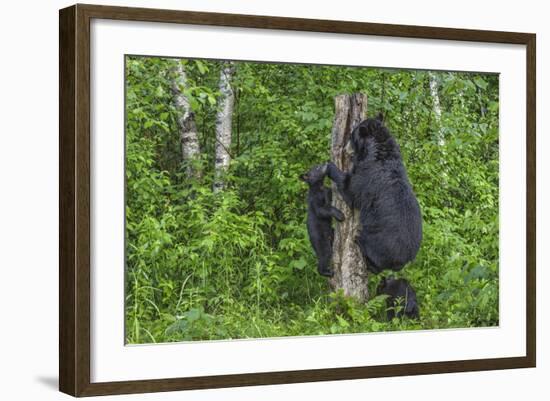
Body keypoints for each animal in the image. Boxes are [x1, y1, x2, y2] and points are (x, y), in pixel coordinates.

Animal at [328, 114, 422, 274]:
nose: (345, 148)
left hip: (378, 242)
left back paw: (359, 240)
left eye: (351, 136)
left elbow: (351, 190)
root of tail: (405, 260)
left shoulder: (367, 175)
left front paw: (327, 166)